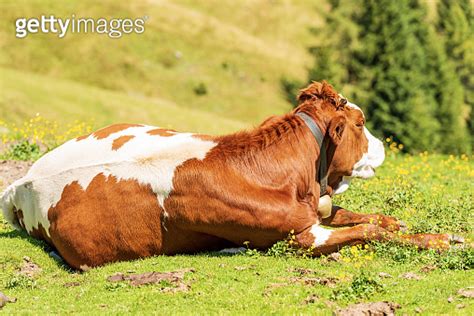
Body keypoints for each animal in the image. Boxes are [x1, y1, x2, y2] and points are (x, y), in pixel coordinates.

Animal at [0, 82, 460, 270]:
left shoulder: (315, 207)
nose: (384, 146)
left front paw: (403, 222)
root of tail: (22, 181)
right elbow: (368, 231)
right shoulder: (297, 238)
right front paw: (441, 241)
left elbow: (362, 216)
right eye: (361, 124)